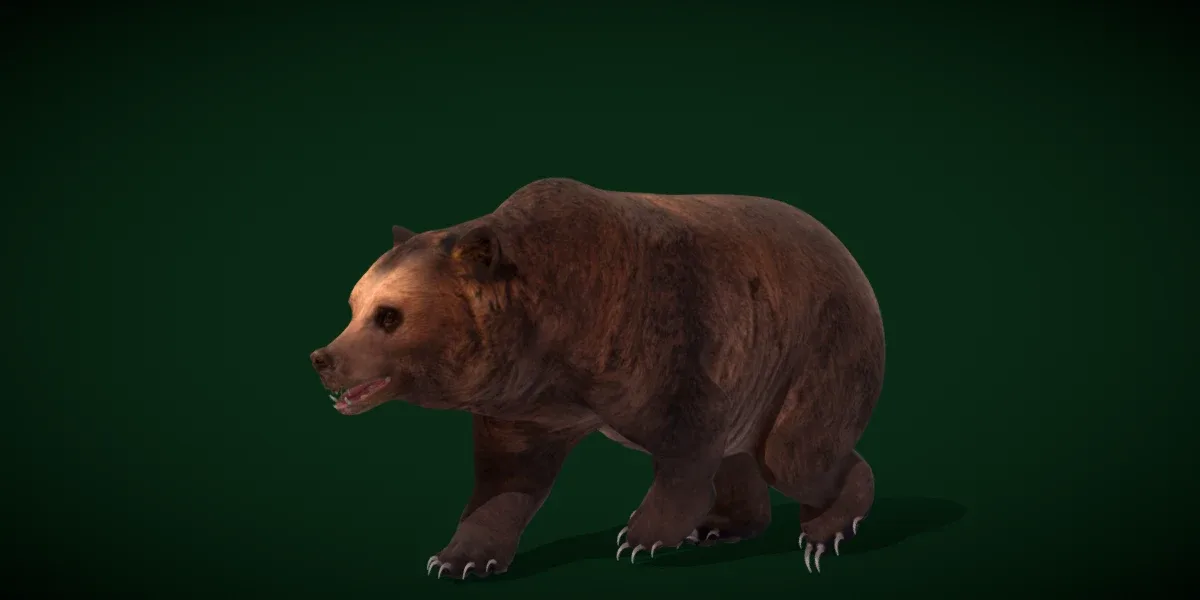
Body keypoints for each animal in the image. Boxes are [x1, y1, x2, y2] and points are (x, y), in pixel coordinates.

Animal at [309, 177, 885, 579]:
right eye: (353, 305)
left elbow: (688, 445)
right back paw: (725, 526)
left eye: (388, 316)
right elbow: (507, 476)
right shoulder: (528, 405)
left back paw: (825, 530)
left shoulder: (667, 335)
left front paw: (641, 536)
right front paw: (457, 557)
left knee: (792, 453)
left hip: (816, 345)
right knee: (744, 452)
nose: (323, 357)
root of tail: (848, 252)